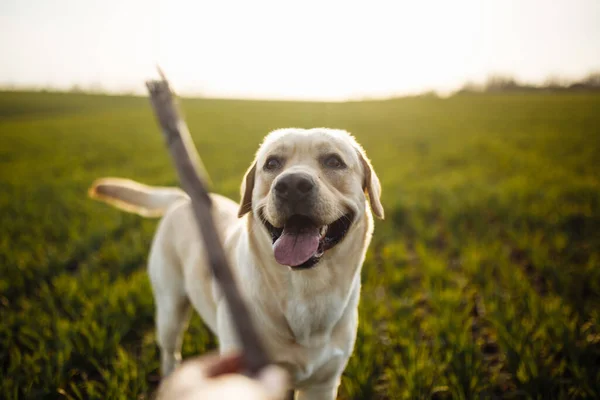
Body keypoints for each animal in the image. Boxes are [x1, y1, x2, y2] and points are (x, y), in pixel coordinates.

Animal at [88, 129, 384, 400]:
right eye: (272, 164)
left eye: (334, 161)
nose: (291, 185)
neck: (306, 291)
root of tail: (183, 198)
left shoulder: (322, 384)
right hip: (170, 308)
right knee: (170, 353)